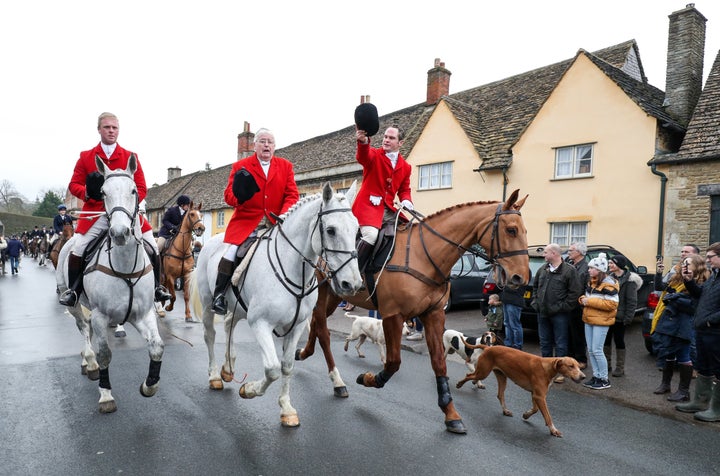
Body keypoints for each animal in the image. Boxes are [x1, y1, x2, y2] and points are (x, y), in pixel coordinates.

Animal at [56, 155, 165, 412]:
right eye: (103, 192)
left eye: (134, 190)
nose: (119, 233)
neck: (126, 267)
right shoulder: (100, 315)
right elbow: (105, 354)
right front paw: (106, 395)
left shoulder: (142, 314)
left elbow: (156, 346)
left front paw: (149, 385)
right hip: (73, 304)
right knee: (84, 328)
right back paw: (90, 362)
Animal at [190, 182, 362, 428]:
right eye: (331, 230)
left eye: (357, 230)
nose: (352, 283)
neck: (293, 269)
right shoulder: (260, 323)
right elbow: (272, 369)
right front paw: (249, 390)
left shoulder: (297, 326)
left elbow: (287, 366)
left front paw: (287, 409)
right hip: (207, 304)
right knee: (210, 335)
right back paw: (215, 376)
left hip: (239, 307)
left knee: (229, 325)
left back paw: (228, 368)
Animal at [296, 190, 528, 436]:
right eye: (511, 230)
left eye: (524, 230)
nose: (521, 278)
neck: (423, 256)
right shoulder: (392, 316)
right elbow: (393, 362)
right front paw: (369, 378)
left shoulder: (434, 315)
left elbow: (439, 362)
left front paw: (450, 413)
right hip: (321, 293)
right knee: (322, 329)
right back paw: (335, 379)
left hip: (335, 295)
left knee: (317, 325)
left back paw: (305, 354)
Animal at [456, 338, 584, 438]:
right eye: (571, 366)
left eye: (579, 366)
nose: (583, 376)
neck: (547, 367)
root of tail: (488, 348)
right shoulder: (539, 396)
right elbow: (548, 416)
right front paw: (553, 430)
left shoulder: (536, 395)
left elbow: (535, 409)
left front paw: (526, 414)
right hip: (483, 372)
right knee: (469, 375)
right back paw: (460, 384)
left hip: (501, 377)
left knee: (499, 394)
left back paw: (504, 410)